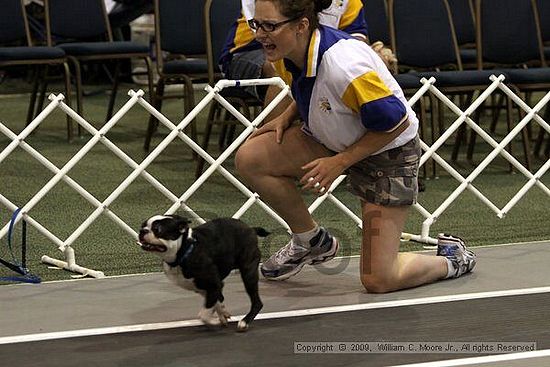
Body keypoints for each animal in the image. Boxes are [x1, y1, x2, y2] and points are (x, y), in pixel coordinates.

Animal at [137, 214, 268, 332]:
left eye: (157, 229)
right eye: (143, 225)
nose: (142, 231)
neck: (185, 252)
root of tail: (251, 229)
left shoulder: (214, 284)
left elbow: (203, 314)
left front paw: (213, 321)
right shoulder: (204, 288)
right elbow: (217, 301)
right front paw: (222, 314)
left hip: (248, 272)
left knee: (257, 302)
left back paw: (245, 322)